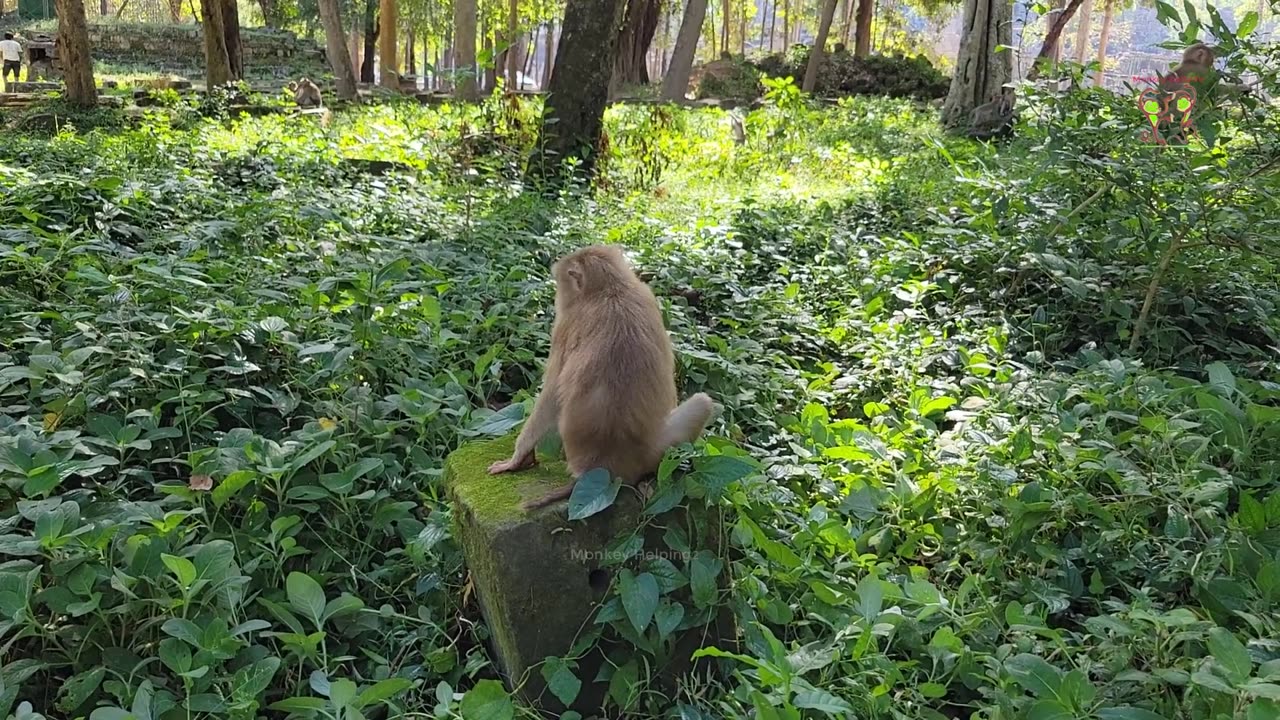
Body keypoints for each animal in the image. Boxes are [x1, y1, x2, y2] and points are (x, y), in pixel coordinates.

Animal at [483, 243, 716, 507]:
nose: (557, 298)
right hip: (658, 450)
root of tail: (608, 468)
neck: (611, 289)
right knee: (703, 404)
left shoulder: (565, 325)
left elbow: (551, 394)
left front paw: (517, 457)